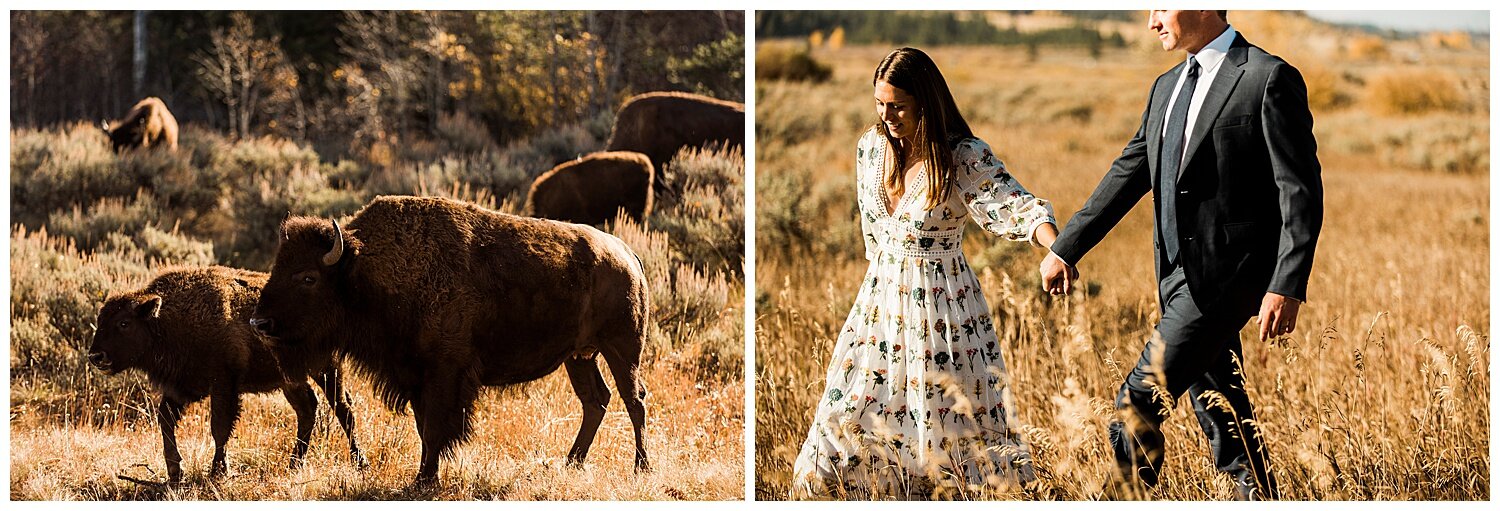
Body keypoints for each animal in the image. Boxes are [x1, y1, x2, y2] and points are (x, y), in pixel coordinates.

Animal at [87, 266, 369, 482]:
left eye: (124, 323)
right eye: (100, 322)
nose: (95, 356)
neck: (167, 319)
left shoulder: (224, 385)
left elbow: (219, 427)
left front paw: (217, 472)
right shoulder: (180, 388)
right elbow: (165, 420)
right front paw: (175, 472)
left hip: (327, 368)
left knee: (343, 408)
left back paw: (360, 462)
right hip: (291, 380)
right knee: (308, 408)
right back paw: (294, 464)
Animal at [252, 194, 651, 482]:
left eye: (308, 277)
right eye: (277, 267)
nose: (259, 322)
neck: (363, 270)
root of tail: (627, 255)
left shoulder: (444, 375)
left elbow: (434, 429)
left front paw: (424, 479)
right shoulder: (415, 377)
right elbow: (424, 427)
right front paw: (425, 476)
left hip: (622, 348)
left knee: (634, 401)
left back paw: (640, 467)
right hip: (579, 356)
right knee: (596, 401)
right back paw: (572, 462)